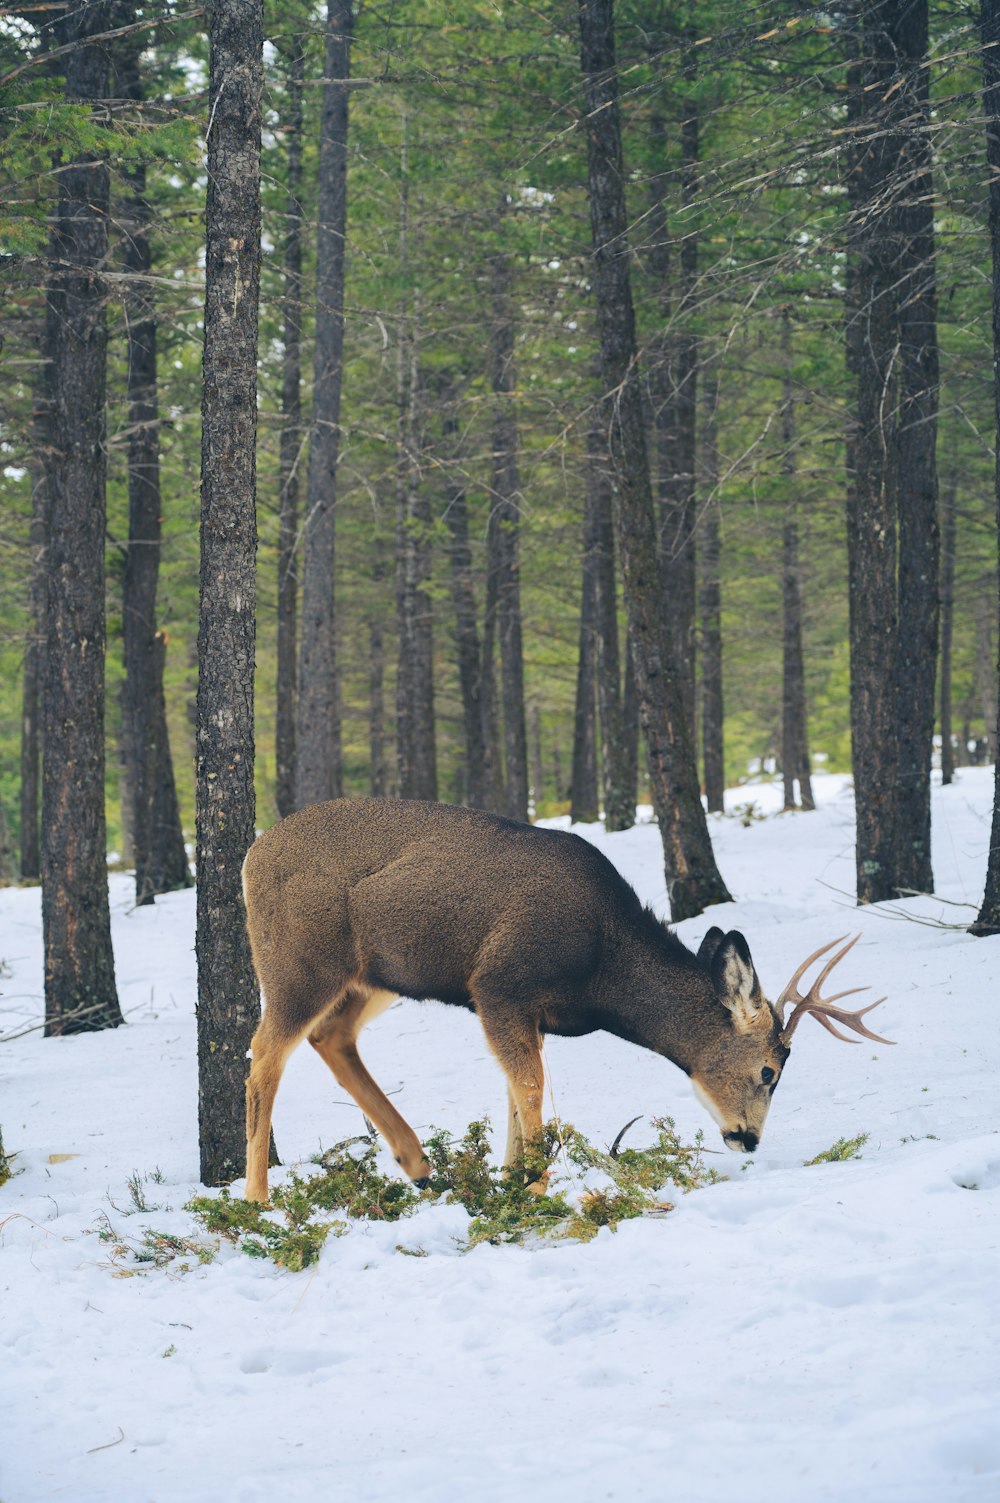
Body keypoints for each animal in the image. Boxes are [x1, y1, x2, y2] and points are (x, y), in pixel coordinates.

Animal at [240, 793, 890, 1202]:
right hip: (299, 961)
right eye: (768, 1071)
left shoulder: (522, 1010)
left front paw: (509, 1181)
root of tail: (250, 858)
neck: (602, 968)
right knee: (264, 1056)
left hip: (372, 977)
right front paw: (534, 1189)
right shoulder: (499, 984)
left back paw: (420, 1166)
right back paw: (257, 1201)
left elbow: (512, 1093)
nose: (747, 1138)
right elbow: (531, 1090)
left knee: (331, 1037)